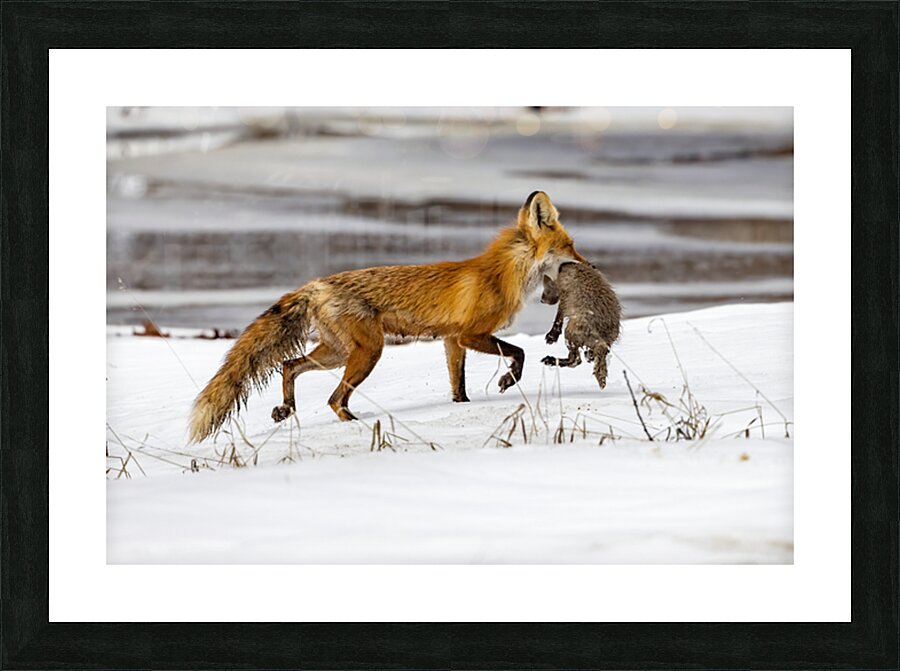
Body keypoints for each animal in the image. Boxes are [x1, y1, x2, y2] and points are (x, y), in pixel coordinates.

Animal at [188, 191, 587, 443]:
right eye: (570, 247)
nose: (591, 266)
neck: (502, 274)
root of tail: (315, 284)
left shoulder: (451, 340)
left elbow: (457, 385)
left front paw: (462, 407)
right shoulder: (470, 334)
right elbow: (518, 353)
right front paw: (508, 380)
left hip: (337, 353)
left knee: (289, 365)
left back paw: (286, 408)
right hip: (368, 352)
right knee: (334, 399)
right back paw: (355, 424)